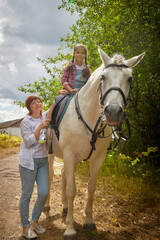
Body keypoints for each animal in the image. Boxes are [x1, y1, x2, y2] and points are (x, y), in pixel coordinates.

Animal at [45, 47, 145, 238]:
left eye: (129, 79)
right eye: (103, 77)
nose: (113, 112)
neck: (88, 118)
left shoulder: (98, 159)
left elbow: (91, 187)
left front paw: (89, 221)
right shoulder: (69, 156)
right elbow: (72, 190)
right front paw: (70, 229)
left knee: (63, 175)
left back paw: (65, 207)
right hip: (50, 154)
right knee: (50, 175)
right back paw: (46, 207)